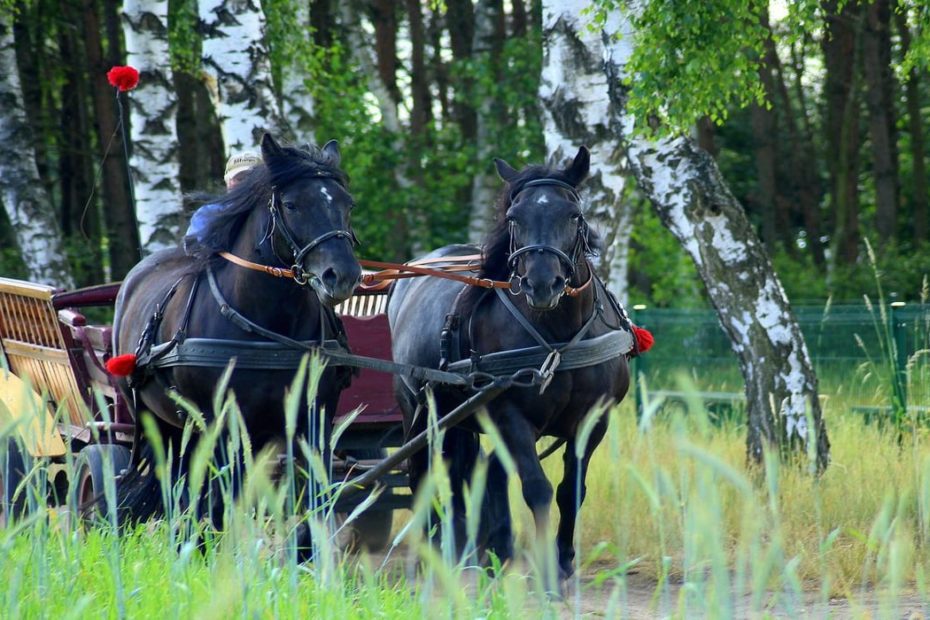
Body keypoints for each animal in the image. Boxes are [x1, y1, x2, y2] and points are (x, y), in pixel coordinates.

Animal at [110, 134, 360, 524]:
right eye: (291, 204)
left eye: (346, 203)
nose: (343, 275)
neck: (270, 332)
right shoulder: (223, 422)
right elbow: (223, 501)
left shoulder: (313, 419)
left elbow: (313, 499)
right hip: (158, 424)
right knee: (177, 489)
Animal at [388, 145, 636, 588]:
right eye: (514, 218)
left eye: (573, 215)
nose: (542, 284)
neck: (558, 337)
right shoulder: (510, 416)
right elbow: (536, 488)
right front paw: (546, 571)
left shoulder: (594, 419)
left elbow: (571, 490)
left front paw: (562, 561)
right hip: (419, 410)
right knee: (424, 474)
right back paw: (433, 554)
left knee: (470, 473)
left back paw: (479, 552)